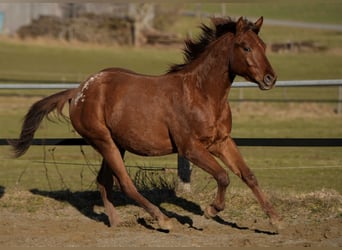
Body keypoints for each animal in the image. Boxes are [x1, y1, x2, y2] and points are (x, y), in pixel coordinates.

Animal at [10, 17, 280, 230]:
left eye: (263, 46)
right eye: (246, 47)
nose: (270, 79)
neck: (202, 94)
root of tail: (78, 92)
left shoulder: (221, 142)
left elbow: (248, 175)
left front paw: (274, 220)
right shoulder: (190, 148)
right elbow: (223, 176)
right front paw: (211, 210)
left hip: (116, 144)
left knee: (104, 181)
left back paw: (116, 222)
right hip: (103, 141)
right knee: (125, 184)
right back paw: (163, 220)